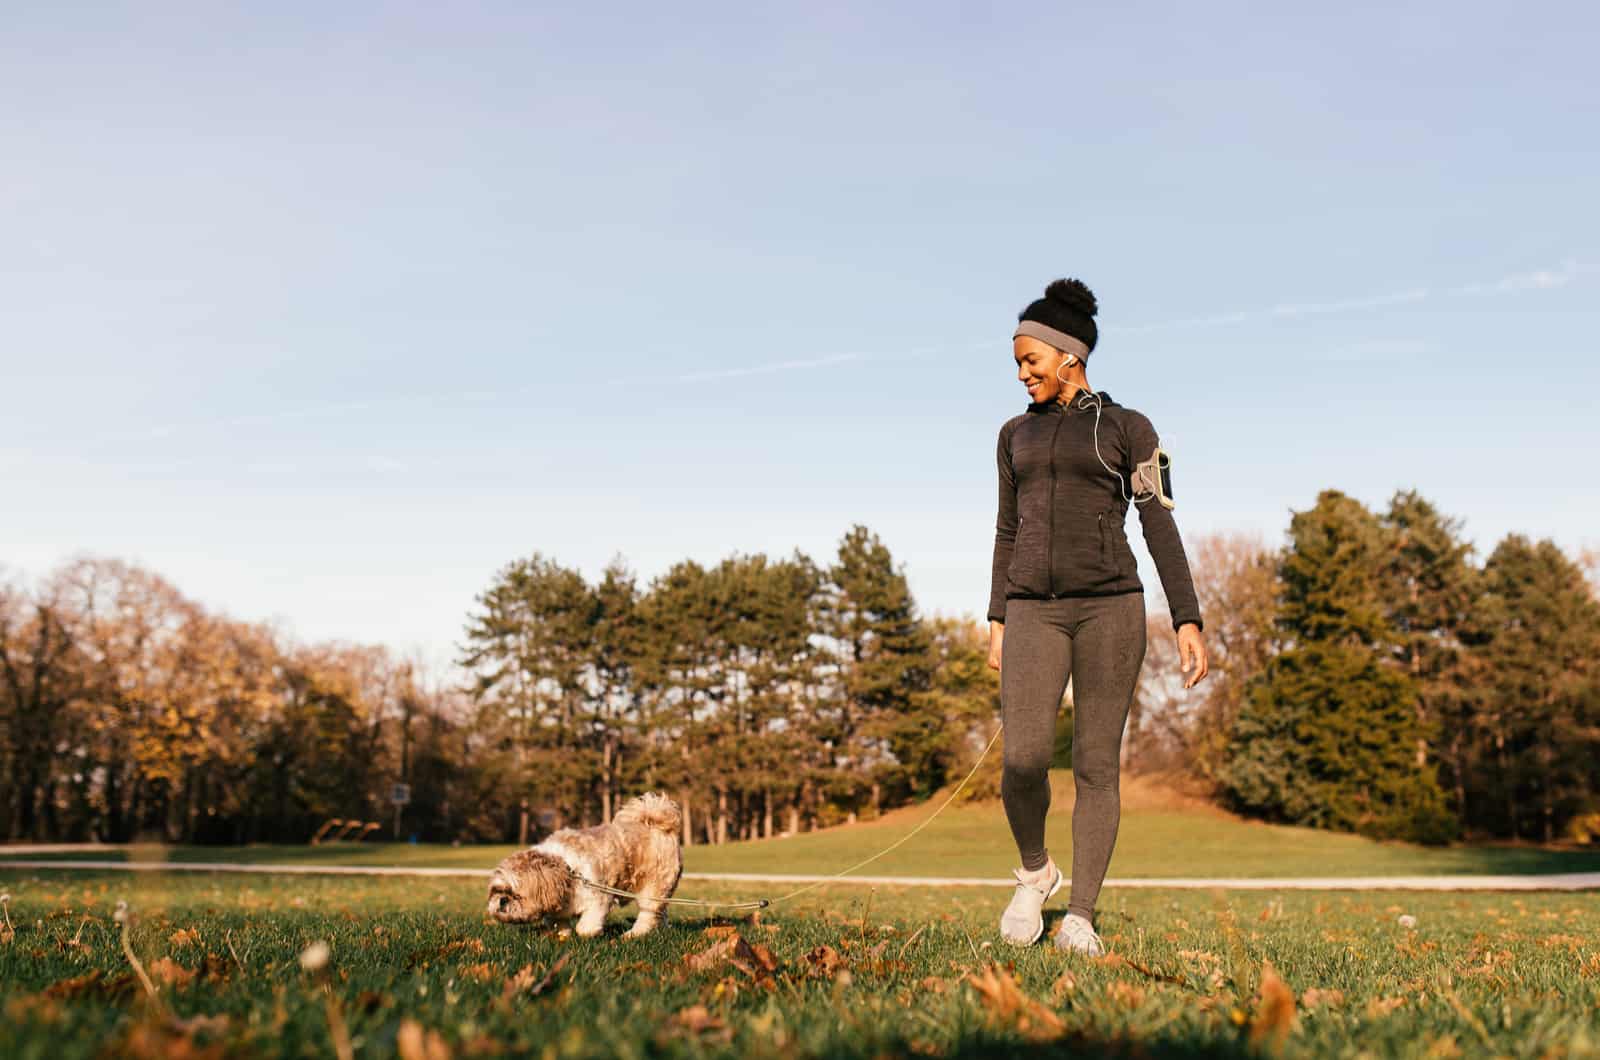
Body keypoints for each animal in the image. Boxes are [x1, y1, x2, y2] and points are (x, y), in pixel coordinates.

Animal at [486, 797, 688, 941]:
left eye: (517, 895)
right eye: (497, 890)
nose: (502, 900)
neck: (567, 870)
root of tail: (656, 824)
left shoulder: (598, 898)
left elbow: (585, 927)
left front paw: (589, 933)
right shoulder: (557, 907)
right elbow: (559, 922)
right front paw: (562, 935)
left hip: (653, 886)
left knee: (648, 913)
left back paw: (633, 934)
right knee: (659, 912)